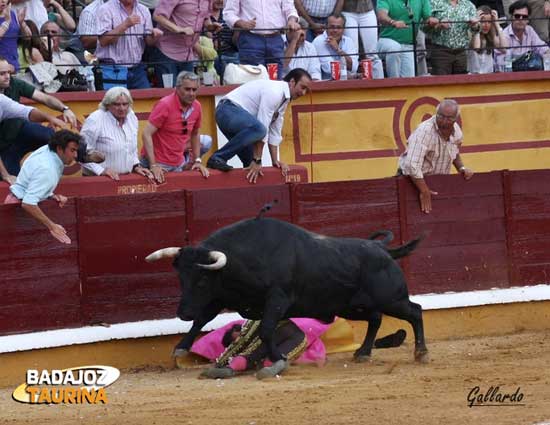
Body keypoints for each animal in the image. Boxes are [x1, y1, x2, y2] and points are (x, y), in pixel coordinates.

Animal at [147, 219, 432, 362]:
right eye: (181, 278)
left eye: (202, 280)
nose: (182, 313)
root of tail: (383, 250)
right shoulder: (223, 296)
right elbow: (201, 320)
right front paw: (181, 347)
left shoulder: (277, 299)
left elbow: (265, 330)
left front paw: (278, 357)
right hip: (350, 306)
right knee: (375, 319)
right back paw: (362, 353)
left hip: (392, 299)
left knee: (415, 311)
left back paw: (421, 353)